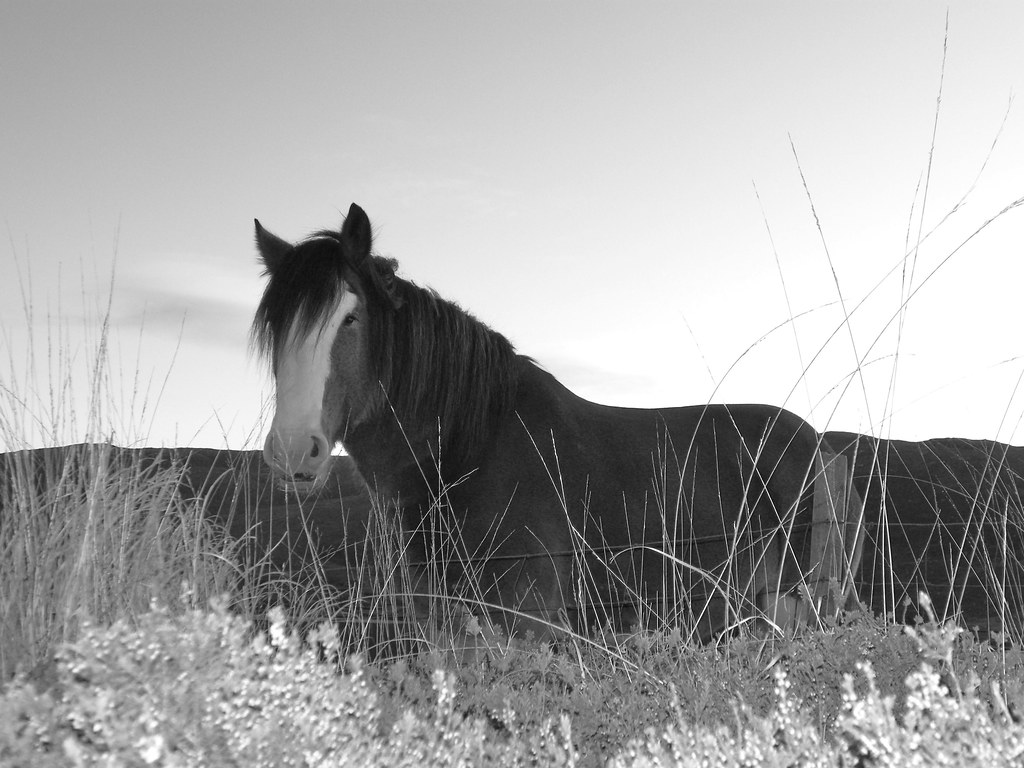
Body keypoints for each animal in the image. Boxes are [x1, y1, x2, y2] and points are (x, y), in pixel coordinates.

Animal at [251, 203, 860, 643]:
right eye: (276, 326)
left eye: (350, 318)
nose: (293, 451)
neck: (467, 452)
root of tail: (821, 447)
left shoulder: (527, 624)